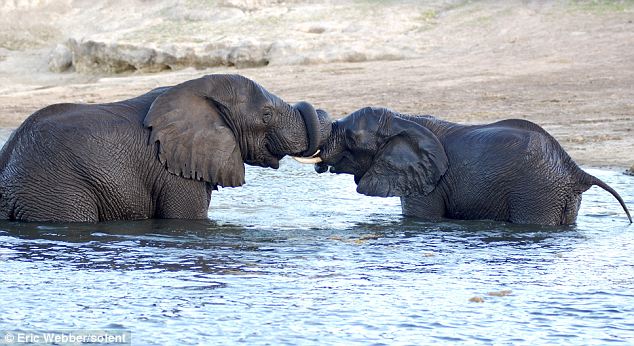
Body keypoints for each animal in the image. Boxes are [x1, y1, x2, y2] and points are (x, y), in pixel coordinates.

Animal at [298, 108, 632, 226]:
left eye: (352, 139)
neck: (400, 119)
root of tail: (575, 168)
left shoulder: (428, 183)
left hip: (538, 191)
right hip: (560, 195)